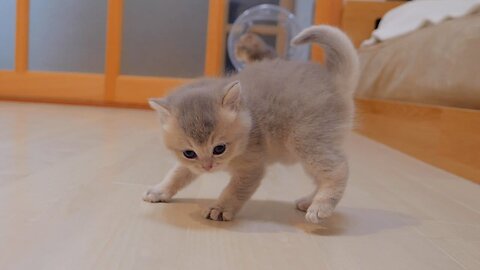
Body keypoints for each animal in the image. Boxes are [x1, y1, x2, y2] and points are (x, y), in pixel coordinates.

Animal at [144, 25, 358, 224]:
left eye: (219, 149)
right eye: (189, 153)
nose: (208, 167)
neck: (249, 120)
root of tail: (334, 81)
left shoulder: (252, 167)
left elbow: (234, 191)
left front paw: (219, 209)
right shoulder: (190, 164)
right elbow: (176, 174)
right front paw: (159, 191)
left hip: (307, 141)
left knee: (338, 169)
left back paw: (320, 207)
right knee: (322, 176)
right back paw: (308, 201)